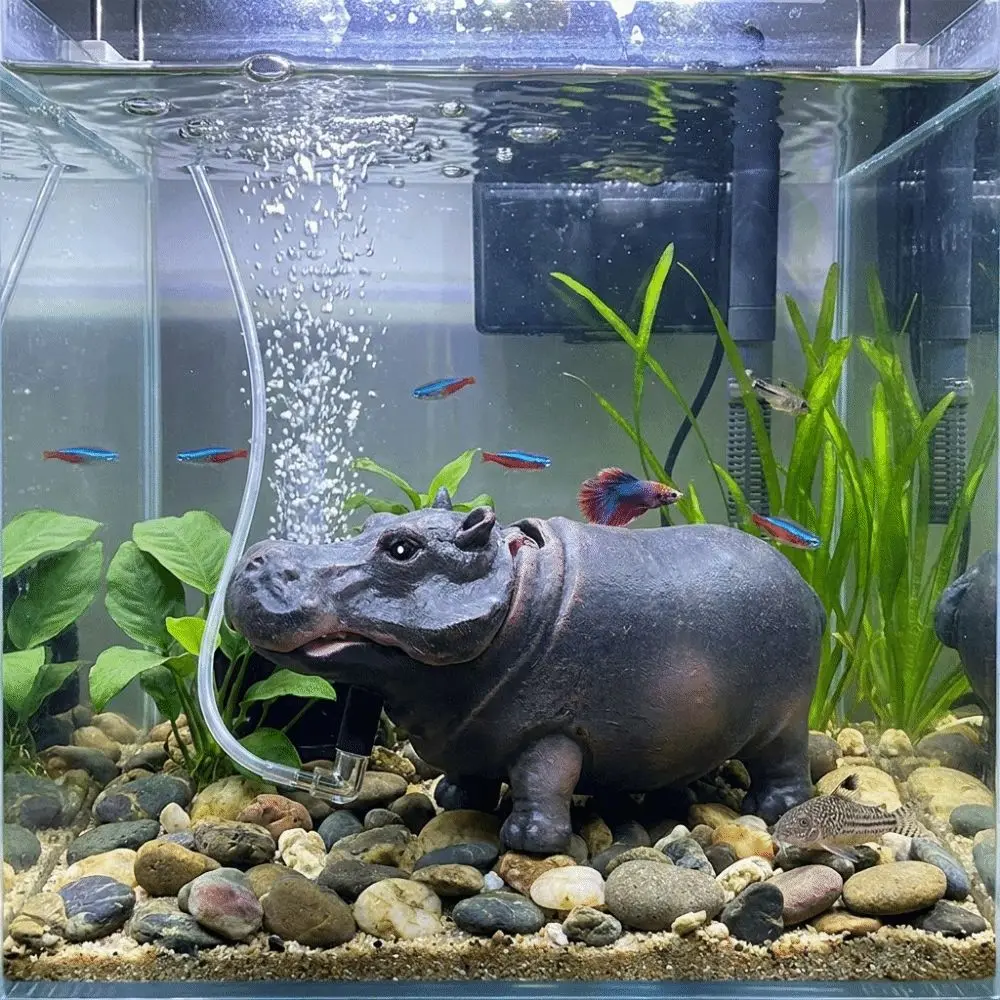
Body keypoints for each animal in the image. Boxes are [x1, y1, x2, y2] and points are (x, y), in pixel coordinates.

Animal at [225, 491, 826, 855]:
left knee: (785, 761)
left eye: (401, 549)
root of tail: (808, 587)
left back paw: (771, 808)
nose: (258, 556)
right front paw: (454, 799)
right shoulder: (471, 729)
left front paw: (528, 838)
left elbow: (544, 778)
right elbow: (472, 771)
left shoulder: (551, 729)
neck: (515, 590)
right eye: (373, 522)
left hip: (785, 716)